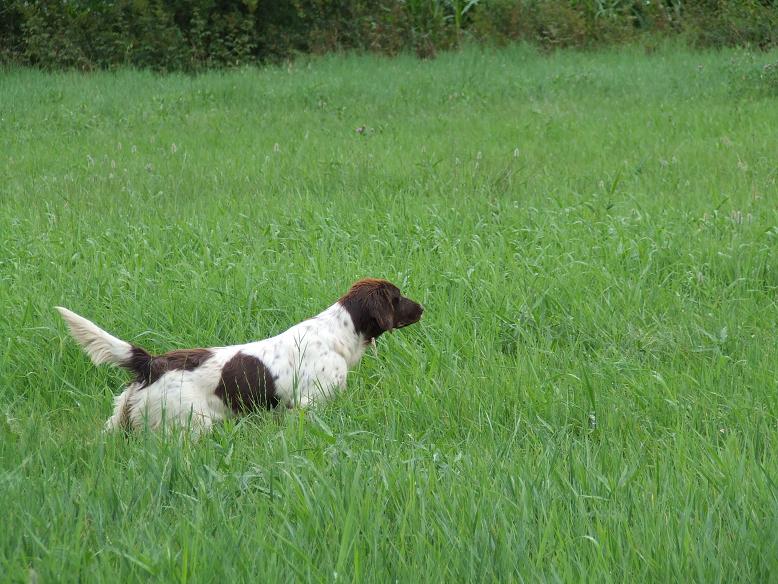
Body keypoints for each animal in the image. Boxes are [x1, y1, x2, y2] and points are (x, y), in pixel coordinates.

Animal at [57, 278, 423, 433]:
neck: (338, 333)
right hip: (190, 425)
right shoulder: (309, 403)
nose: (423, 307)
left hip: (122, 420)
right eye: (398, 296)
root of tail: (152, 363)